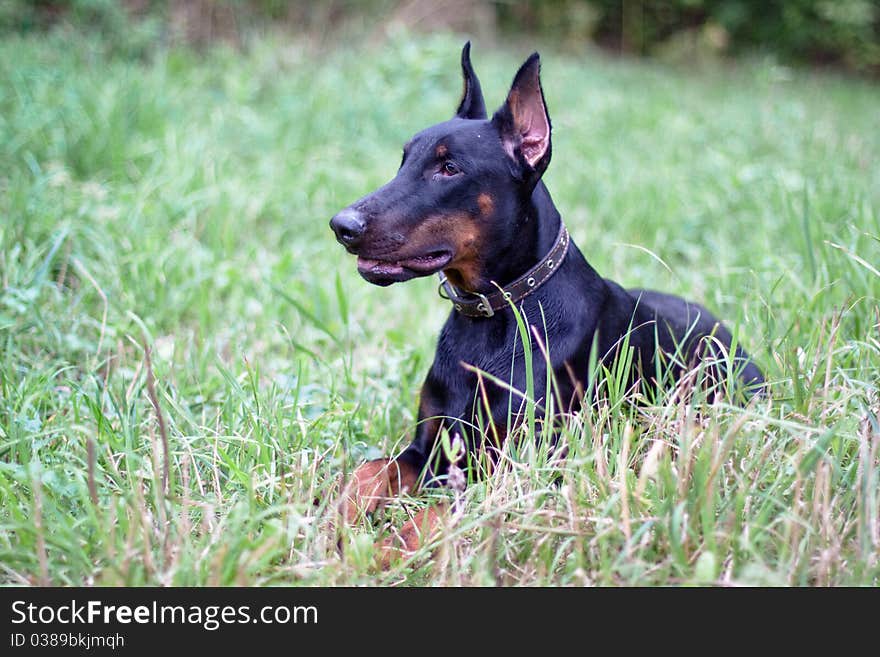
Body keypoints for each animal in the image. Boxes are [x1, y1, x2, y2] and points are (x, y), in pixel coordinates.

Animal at [330, 42, 764, 564]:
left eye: (449, 168)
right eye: (403, 161)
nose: (342, 225)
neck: (495, 316)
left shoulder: (522, 465)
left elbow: (442, 509)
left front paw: (380, 551)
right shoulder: (429, 446)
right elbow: (368, 471)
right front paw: (325, 522)